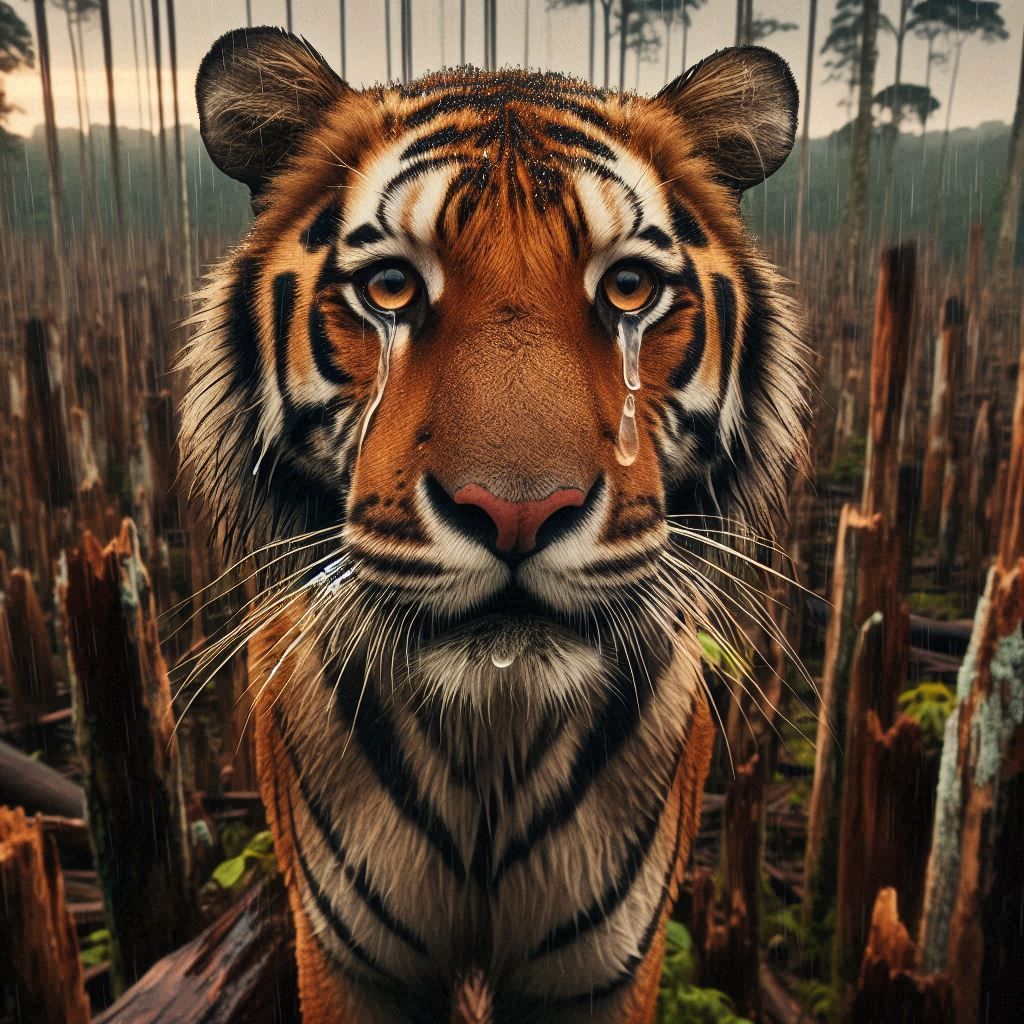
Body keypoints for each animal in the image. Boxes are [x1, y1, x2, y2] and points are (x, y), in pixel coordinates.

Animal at [180, 26, 807, 1024]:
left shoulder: (610, 965)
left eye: (628, 288)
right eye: (391, 288)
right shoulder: (345, 958)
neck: (492, 744)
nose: (518, 511)